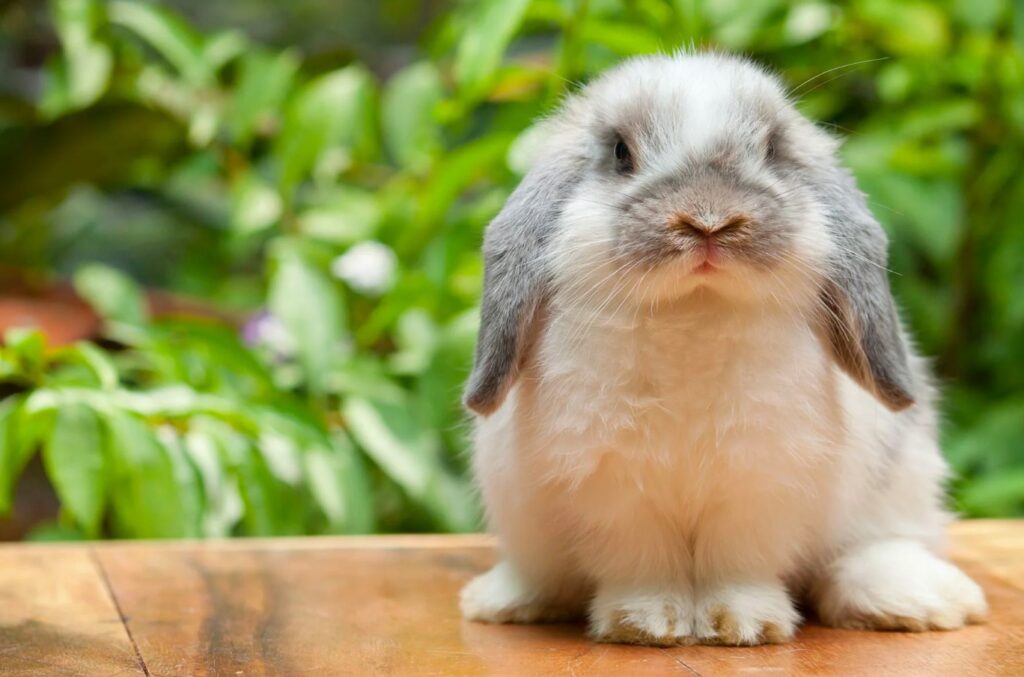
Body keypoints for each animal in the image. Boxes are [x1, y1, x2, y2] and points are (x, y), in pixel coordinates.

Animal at [458, 52, 987, 646]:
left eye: (773, 150)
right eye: (620, 153)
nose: (708, 220)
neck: (694, 313)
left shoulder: (759, 483)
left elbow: (737, 563)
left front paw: (742, 624)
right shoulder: (615, 490)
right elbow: (642, 563)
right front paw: (646, 623)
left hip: (900, 483)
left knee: (873, 549)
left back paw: (919, 600)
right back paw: (505, 600)